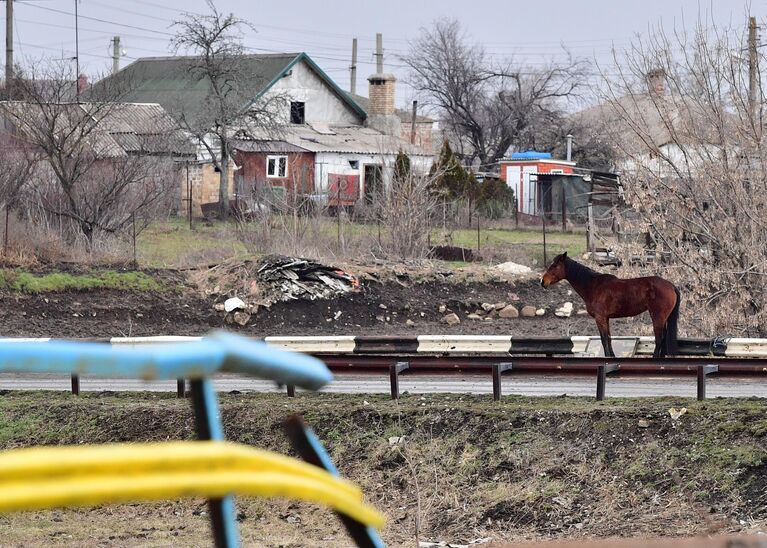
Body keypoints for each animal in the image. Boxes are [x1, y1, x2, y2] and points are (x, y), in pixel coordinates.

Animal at [540, 254, 684, 360]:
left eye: (554, 266)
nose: (542, 282)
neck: (593, 285)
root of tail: (671, 285)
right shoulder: (606, 319)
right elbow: (608, 339)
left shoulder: (600, 318)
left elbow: (604, 340)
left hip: (657, 317)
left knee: (659, 339)